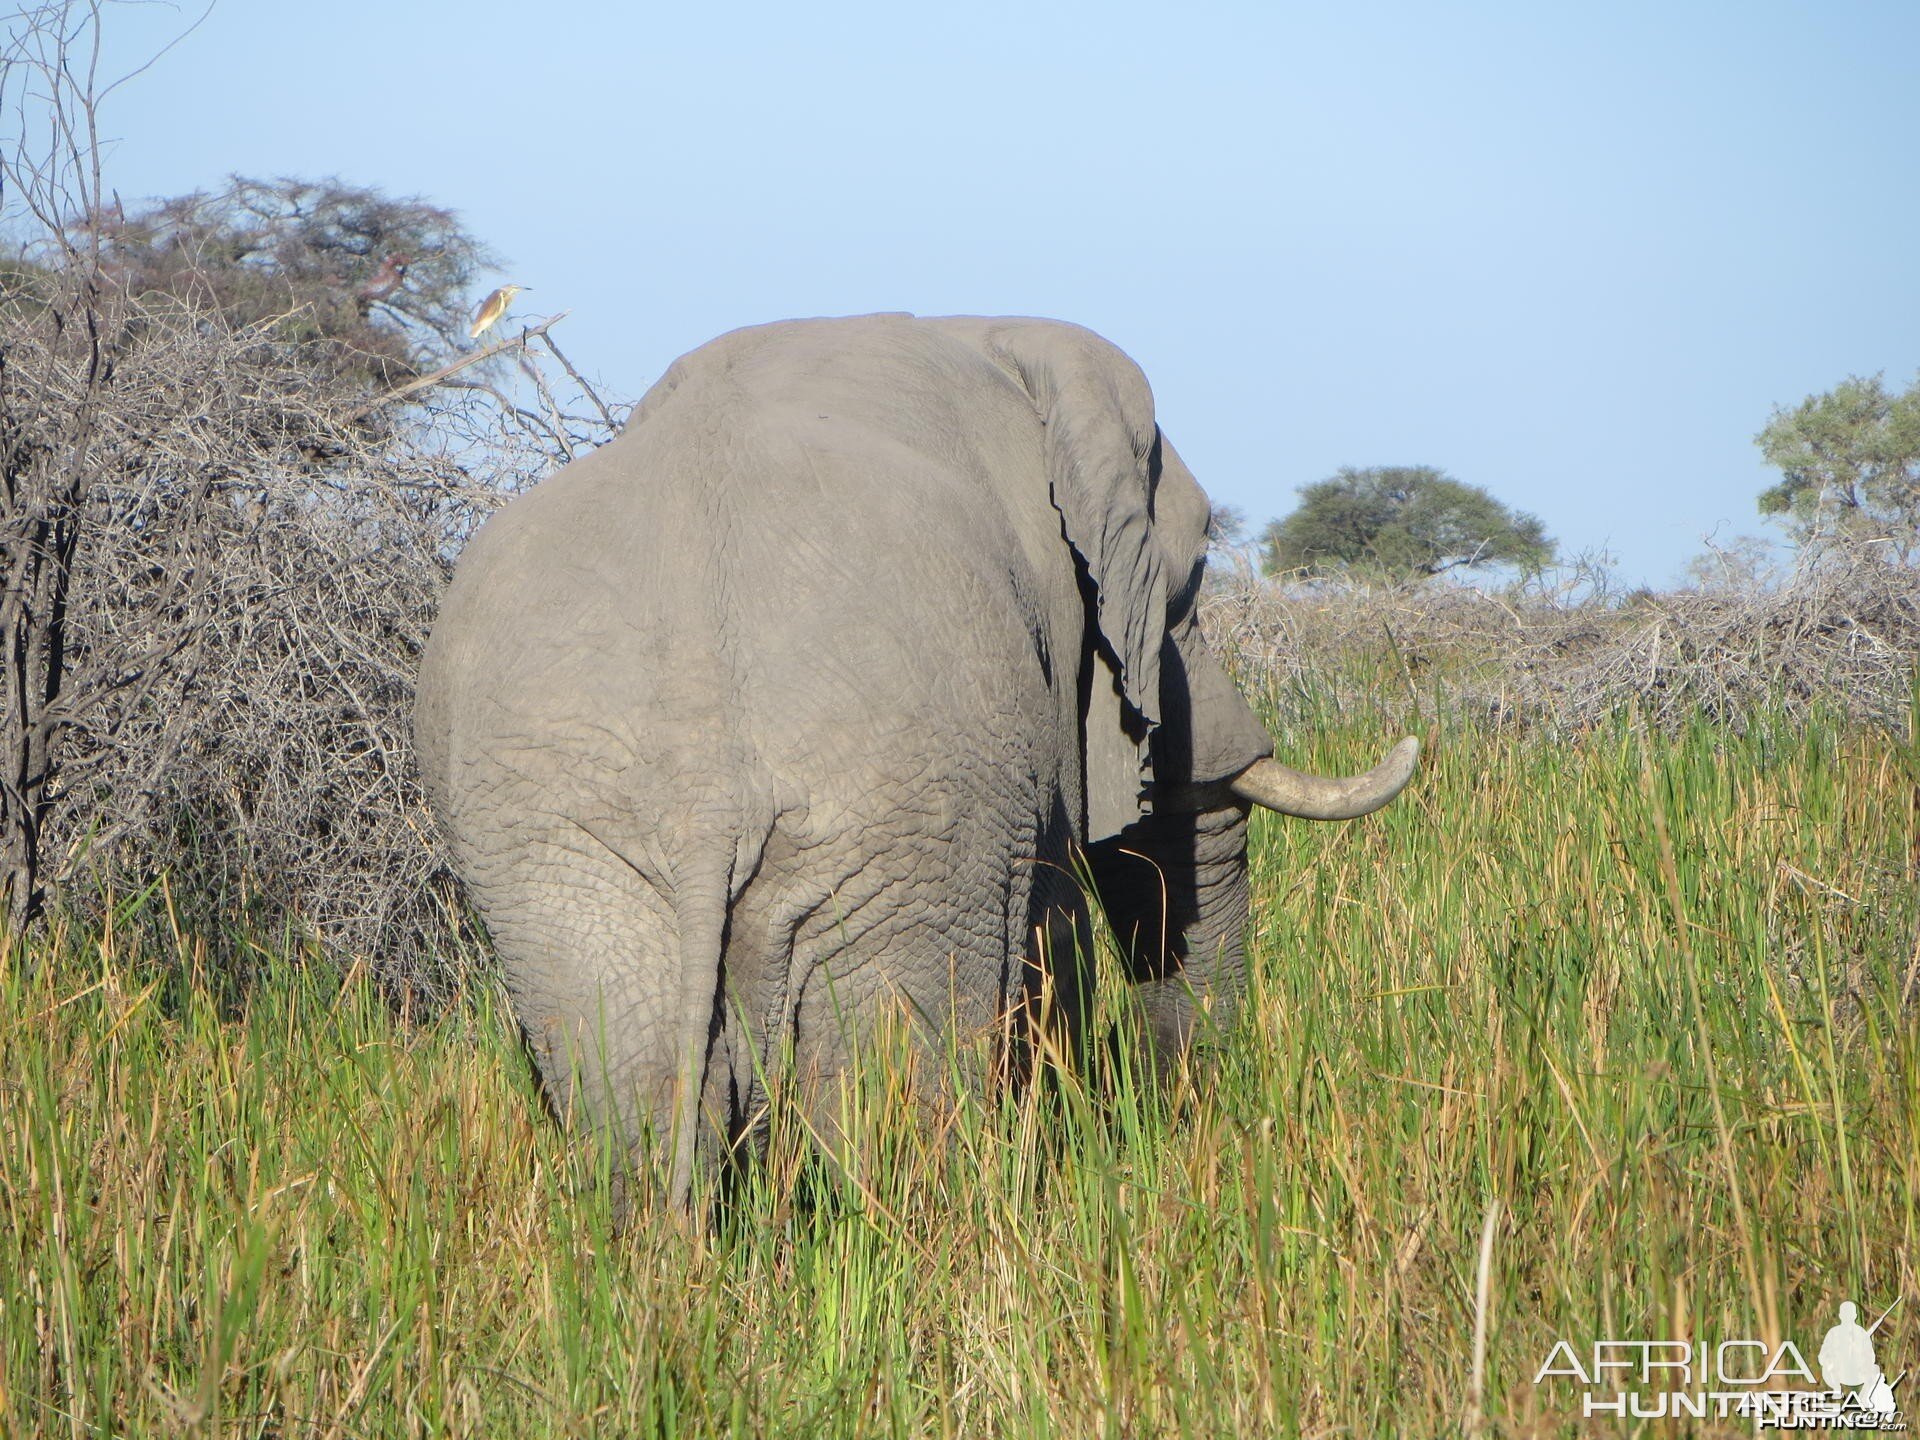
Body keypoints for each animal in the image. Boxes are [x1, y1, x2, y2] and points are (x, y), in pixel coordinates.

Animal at [416, 312, 1413, 1205]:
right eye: (1192, 580)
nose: (1179, 1124)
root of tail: (705, 793)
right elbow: (1055, 932)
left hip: (557, 851)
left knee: (632, 1095)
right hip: (915, 828)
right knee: (890, 1106)